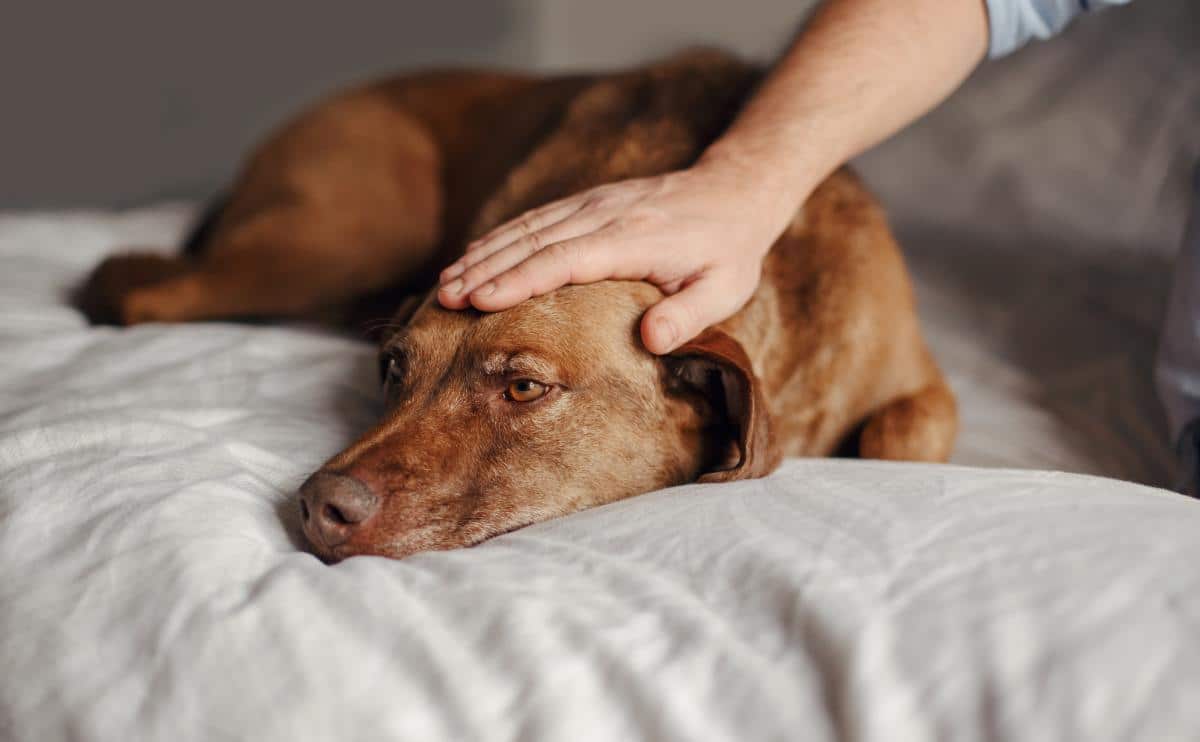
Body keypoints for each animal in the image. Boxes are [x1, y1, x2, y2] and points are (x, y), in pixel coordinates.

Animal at [75, 50, 955, 559]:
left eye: (525, 388)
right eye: (392, 369)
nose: (319, 506)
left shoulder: (921, 384)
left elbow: (905, 432)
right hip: (338, 238)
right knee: (141, 288)